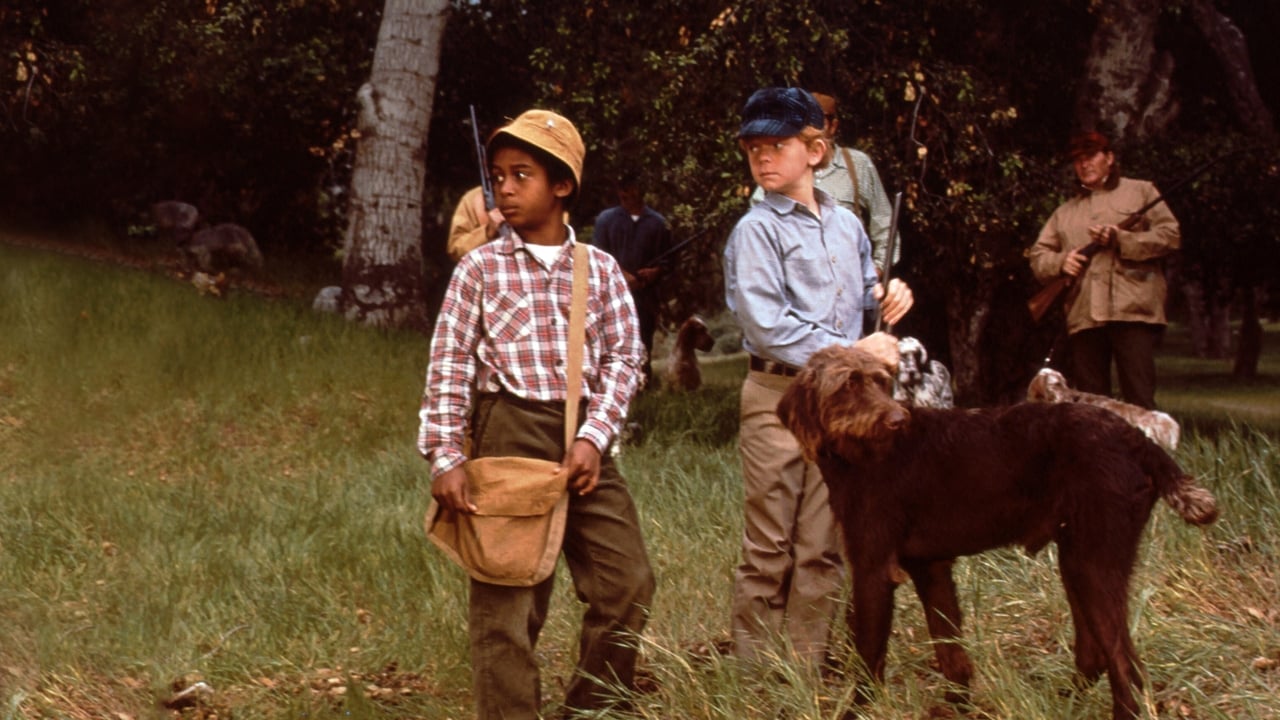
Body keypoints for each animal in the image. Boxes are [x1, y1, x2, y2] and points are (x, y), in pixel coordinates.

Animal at [773, 345, 1213, 712]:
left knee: (1125, 667)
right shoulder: (930, 568)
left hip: (1094, 564)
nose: (899, 420)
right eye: (848, 385)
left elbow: (868, 657)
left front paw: (857, 711)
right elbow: (951, 653)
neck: (859, 455)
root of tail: (1138, 440)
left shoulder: (874, 570)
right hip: (1077, 562)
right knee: (1094, 655)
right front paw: (956, 708)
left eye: (882, 382)